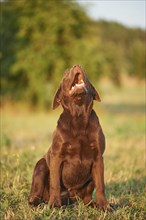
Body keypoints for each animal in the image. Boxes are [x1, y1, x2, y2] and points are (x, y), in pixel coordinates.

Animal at [28, 64, 108, 210]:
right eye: (65, 73)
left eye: (85, 71)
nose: (77, 65)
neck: (78, 117)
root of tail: (71, 197)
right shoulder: (56, 156)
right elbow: (55, 184)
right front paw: (54, 204)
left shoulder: (98, 158)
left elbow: (101, 185)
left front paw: (104, 206)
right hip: (41, 166)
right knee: (35, 191)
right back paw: (35, 201)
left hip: (89, 179)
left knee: (86, 197)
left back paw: (92, 204)